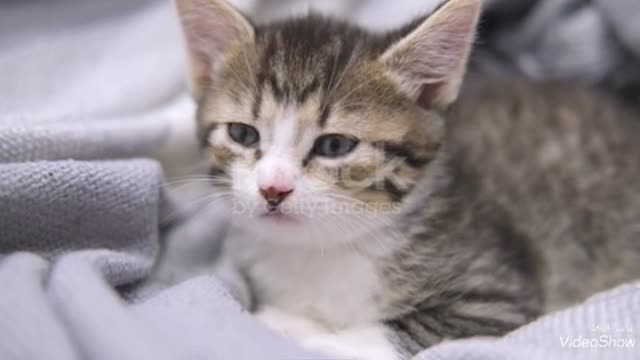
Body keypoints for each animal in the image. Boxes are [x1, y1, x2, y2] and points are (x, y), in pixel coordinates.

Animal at [174, 0, 640, 358]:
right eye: (243, 134)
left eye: (334, 145)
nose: (273, 188)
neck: (322, 248)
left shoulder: (498, 295)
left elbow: (393, 331)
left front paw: (295, 329)